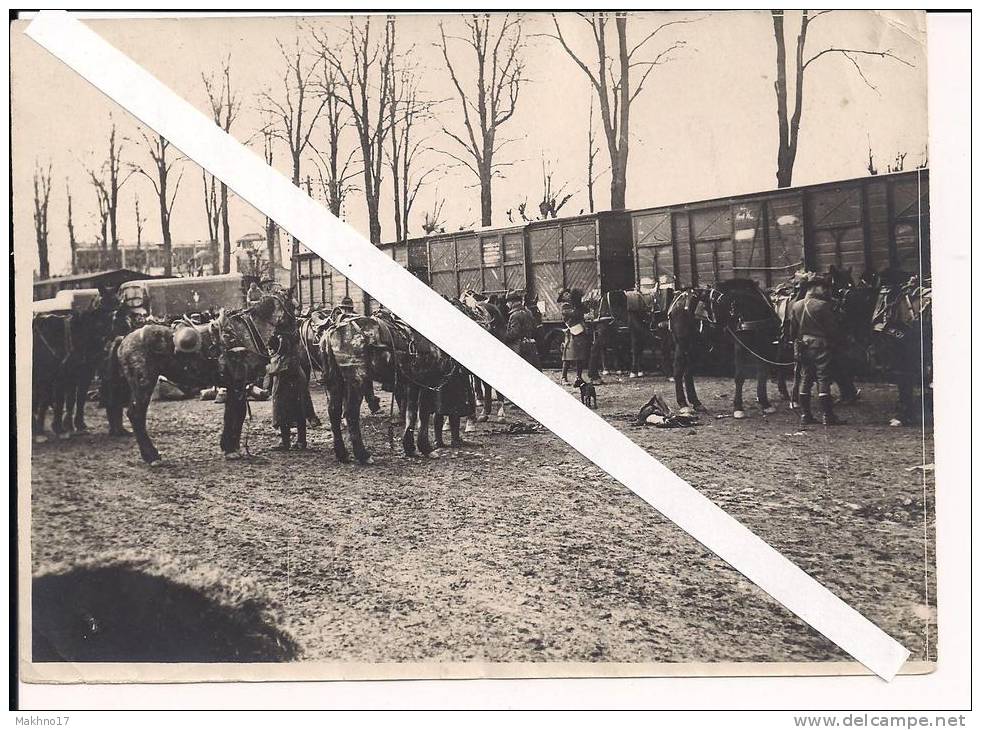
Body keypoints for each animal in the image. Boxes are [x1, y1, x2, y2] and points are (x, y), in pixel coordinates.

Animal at [104, 290, 290, 460]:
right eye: (292, 306)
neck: (247, 331)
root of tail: (124, 339)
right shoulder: (238, 385)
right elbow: (238, 413)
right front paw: (232, 449)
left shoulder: (233, 386)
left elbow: (231, 413)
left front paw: (228, 446)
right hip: (144, 384)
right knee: (136, 415)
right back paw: (151, 456)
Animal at [322, 308, 456, 460]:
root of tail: (332, 331)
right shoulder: (427, 382)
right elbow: (423, 414)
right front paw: (425, 448)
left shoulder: (413, 384)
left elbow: (411, 413)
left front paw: (410, 447)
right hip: (357, 380)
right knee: (350, 413)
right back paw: (363, 455)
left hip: (336, 382)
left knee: (334, 412)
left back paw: (342, 454)